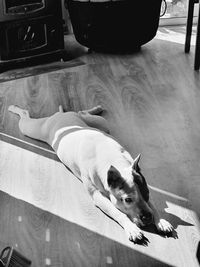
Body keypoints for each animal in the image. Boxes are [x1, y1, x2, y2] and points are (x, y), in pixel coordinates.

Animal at [8, 105, 173, 244]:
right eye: (127, 200)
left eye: (147, 194)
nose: (147, 217)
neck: (114, 161)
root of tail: (61, 115)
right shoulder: (98, 197)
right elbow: (117, 212)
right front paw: (132, 229)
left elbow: (152, 206)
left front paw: (161, 221)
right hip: (33, 128)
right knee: (25, 115)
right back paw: (14, 108)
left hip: (101, 123)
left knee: (83, 113)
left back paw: (95, 109)